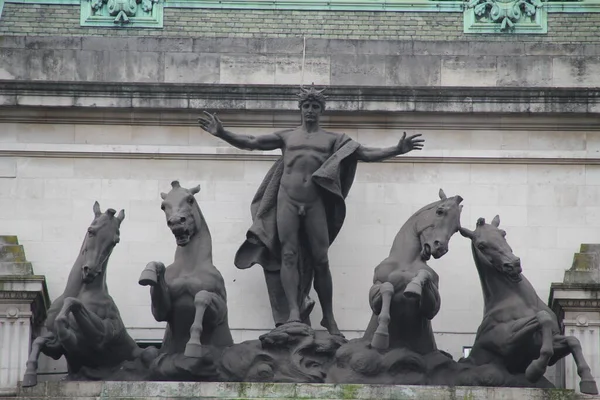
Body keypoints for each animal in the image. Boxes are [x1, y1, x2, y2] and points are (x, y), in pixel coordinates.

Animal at [21, 202, 140, 386]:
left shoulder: (100, 335)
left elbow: (71, 308)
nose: (90, 271)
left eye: (115, 242)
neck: (82, 290)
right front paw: (29, 374)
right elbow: (41, 341)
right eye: (91, 231)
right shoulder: (57, 348)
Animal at [139, 180, 233, 360]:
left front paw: (193, 345)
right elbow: (157, 267)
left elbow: (202, 296)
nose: (176, 222)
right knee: (149, 352)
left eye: (190, 199)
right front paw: (149, 274)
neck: (190, 266)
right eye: (163, 206)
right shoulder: (162, 311)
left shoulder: (220, 311)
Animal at [360, 189, 464, 354]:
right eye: (440, 211)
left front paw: (412, 288)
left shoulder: (432, 304)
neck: (406, 261)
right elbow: (386, 288)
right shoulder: (375, 287)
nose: (440, 248)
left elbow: (424, 278)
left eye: (456, 228)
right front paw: (381, 336)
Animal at [460, 216, 596, 394]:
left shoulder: (547, 343)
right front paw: (535, 369)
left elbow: (573, 340)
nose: (513, 265)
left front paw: (588, 381)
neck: (522, 301)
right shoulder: (507, 343)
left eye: (503, 233)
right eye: (481, 245)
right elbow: (542, 318)